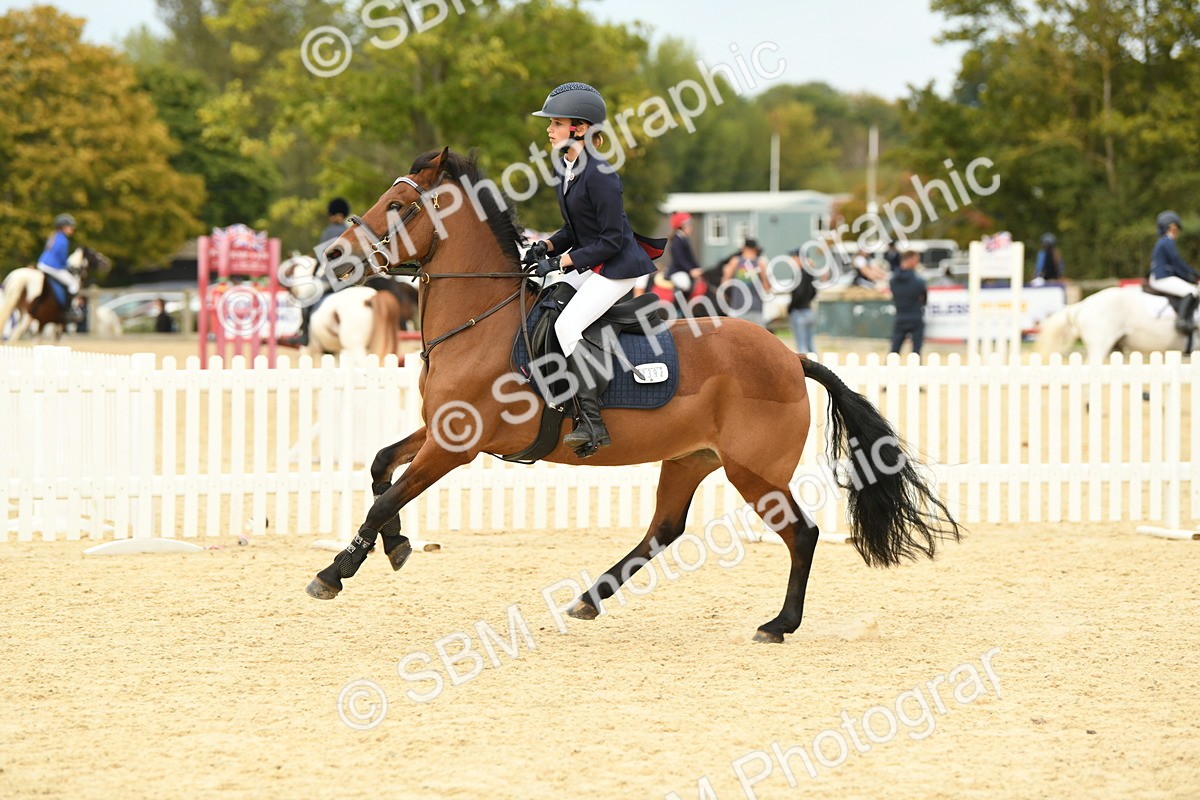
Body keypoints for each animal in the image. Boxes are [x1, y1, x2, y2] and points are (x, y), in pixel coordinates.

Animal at [305, 148, 961, 644]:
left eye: (399, 205)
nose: (331, 255)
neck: (482, 322)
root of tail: (787, 356)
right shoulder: (441, 429)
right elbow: (381, 468)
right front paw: (395, 546)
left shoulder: (456, 445)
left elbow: (385, 498)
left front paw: (338, 569)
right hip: (691, 459)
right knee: (663, 531)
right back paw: (589, 599)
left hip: (753, 472)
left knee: (802, 534)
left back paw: (779, 624)